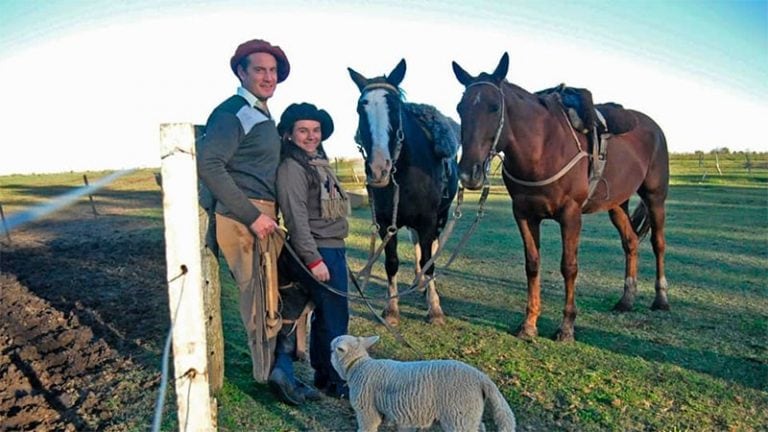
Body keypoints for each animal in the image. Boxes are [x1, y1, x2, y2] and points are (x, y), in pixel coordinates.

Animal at [330, 334, 516, 432]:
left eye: (333, 349)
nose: (330, 345)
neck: (359, 367)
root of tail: (481, 377)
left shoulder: (366, 410)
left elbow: (368, 427)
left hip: (459, 416)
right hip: (470, 414)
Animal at [348, 60, 456, 324]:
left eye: (395, 108)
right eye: (360, 109)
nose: (379, 169)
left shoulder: (428, 220)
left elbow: (429, 260)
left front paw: (435, 309)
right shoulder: (387, 223)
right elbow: (392, 263)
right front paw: (391, 309)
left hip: (441, 216)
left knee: (431, 248)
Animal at [452, 54, 668, 342]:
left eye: (494, 107)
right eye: (460, 108)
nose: (469, 172)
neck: (543, 148)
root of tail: (653, 127)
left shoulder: (570, 215)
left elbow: (569, 267)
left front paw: (566, 327)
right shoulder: (524, 214)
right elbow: (532, 264)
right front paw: (529, 324)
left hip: (655, 197)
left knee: (658, 243)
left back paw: (661, 299)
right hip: (617, 204)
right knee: (631, 242)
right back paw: (626, 300)